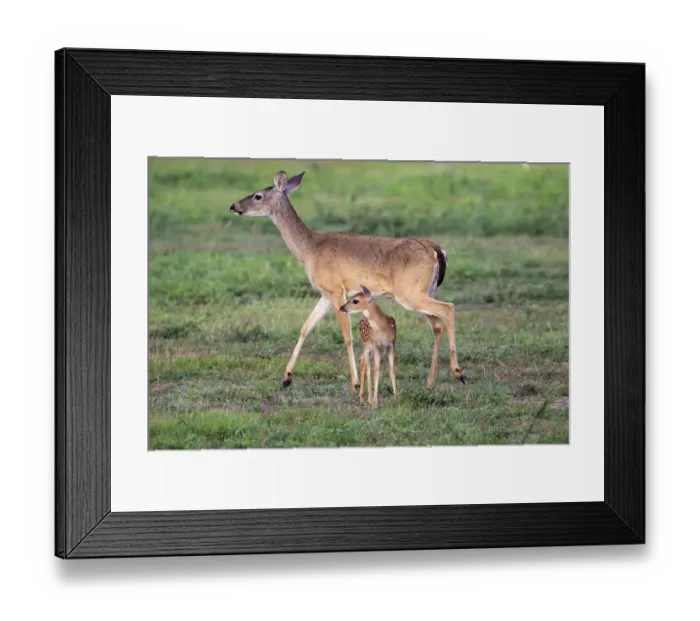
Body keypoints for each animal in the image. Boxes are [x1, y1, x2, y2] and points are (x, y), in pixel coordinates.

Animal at [230, 170, 467, 392]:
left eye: (258, 195)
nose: (233, 206)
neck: (310, 249)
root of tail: (437, 250)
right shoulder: (325, 294)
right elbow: (305, 327)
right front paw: (286, 378)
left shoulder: (337, 291)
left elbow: (347, 336)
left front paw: (354, 383)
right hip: (424, 292)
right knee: (437, 325)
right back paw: (431, 381)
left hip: (410, 293)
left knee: (448, 309)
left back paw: (458, 373)